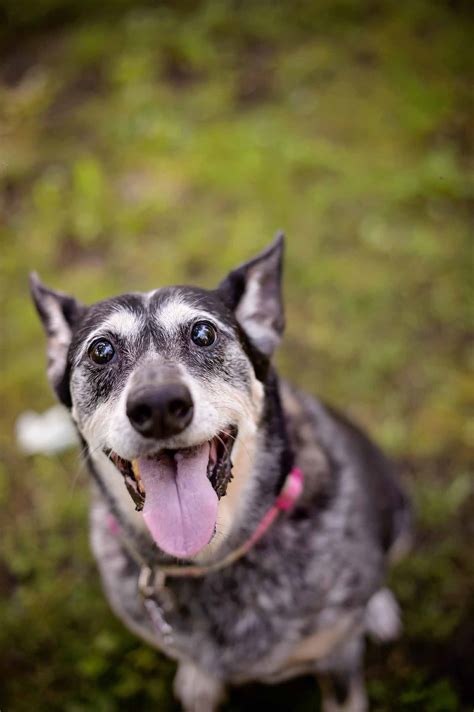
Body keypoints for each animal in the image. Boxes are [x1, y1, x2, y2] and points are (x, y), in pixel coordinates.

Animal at [30, 234, 410, 711]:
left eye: (203, 333)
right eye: (101, 350)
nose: (159, 405)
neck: (209, 559)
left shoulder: (338, 658)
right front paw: (199, 680)